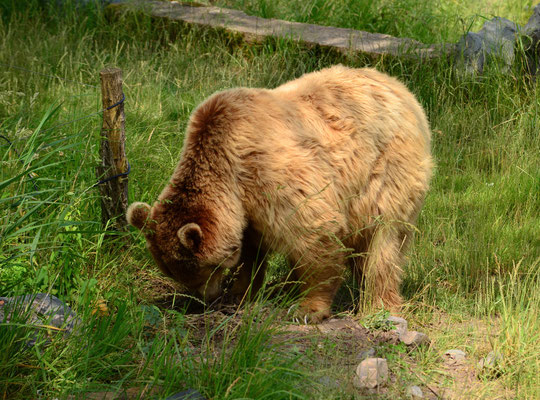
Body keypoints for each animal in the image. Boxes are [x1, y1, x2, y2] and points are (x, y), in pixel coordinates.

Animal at [125, 65, 430, 322]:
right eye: (174, 273)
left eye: (202, 270)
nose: (203, 299)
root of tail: (400, 87)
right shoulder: (247, 207)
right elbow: (250, 252)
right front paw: (239, 292)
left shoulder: (273, 175)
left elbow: (316, 231)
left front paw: (308, 309)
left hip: (386, 169)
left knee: (384, 239)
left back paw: (379, 304)